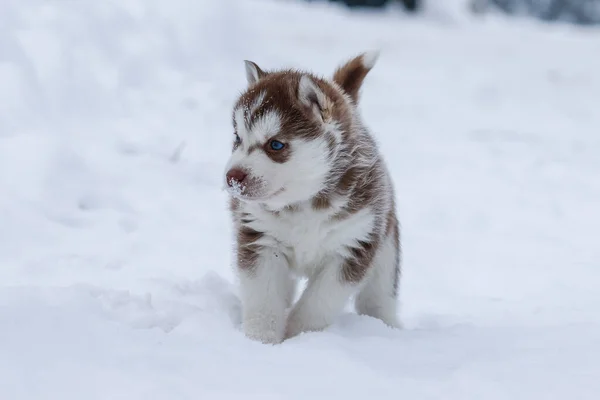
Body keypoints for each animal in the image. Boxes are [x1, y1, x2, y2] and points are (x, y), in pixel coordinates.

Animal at [223, 50, 400, 344]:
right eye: (237, 138)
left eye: (276, 145)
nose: (232, 177)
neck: (305, 204)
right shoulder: (260, 239)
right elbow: (264, 297)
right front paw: (261, 341)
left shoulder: (353, 246)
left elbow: (318, 303)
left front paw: (300, 337)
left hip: (385, 255)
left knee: (379, 297)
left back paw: (388, 328)